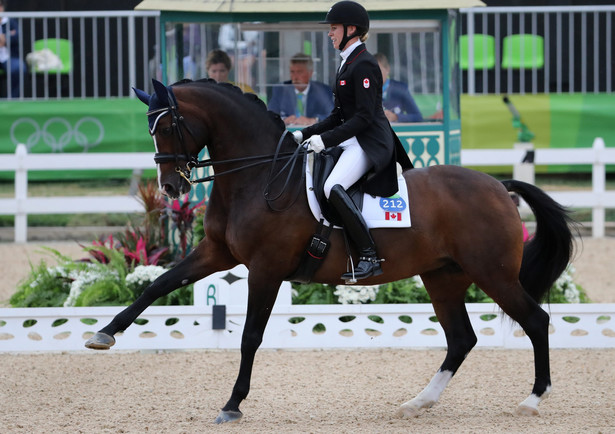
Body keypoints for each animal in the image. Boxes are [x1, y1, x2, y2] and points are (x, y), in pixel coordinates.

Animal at [84, 78, 576, 424]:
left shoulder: (265, 268)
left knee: (535, 321)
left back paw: (532, 400)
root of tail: (497, 185)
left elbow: (250, 336)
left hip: (492, 273)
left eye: (169, 126)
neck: (257, 176)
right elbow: (158, 286)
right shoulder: (217, 254)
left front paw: (232, 404)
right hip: (444, 276)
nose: (170, 187)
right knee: (461, 339)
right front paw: (103, 334)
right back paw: (417, 403)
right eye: (150, 129)